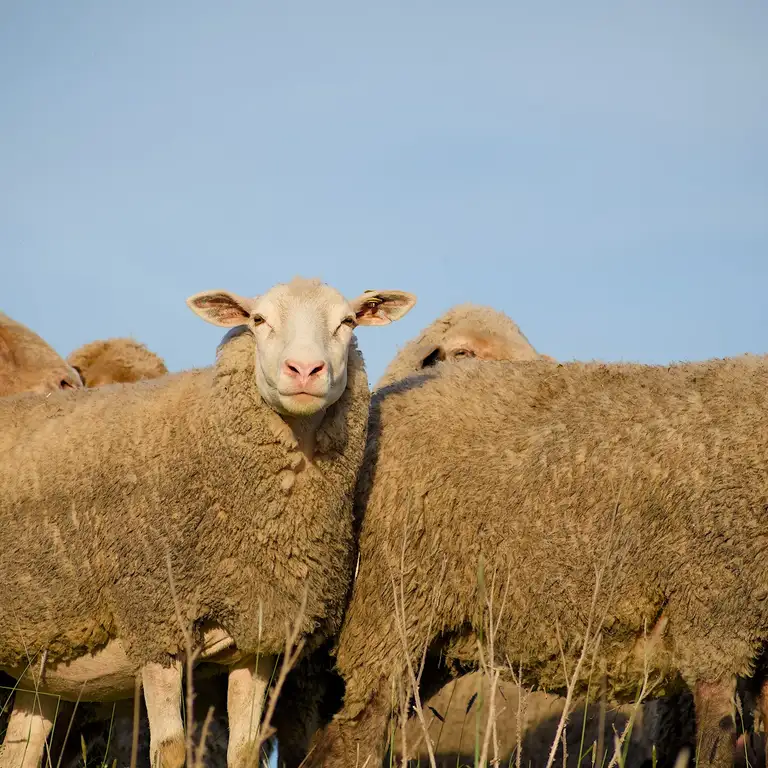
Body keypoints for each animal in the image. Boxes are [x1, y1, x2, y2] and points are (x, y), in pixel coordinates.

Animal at [0, 276, 414, 768]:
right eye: (258, 320)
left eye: (347, 322)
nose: (304, 370)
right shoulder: (156, 619)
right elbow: (171, 749)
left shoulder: (255, 634)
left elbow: (245, 748)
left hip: (41, 660)